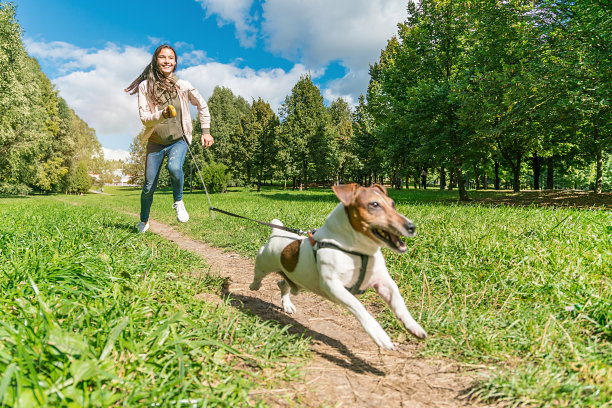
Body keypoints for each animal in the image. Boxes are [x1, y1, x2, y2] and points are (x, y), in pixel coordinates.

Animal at [249, 183, 426, 350]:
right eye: (374, 204)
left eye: (393, 204)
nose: (411, 227)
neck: (358, 252)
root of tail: (277, 233)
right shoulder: (333, 286)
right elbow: (358, 306)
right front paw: (378, 333)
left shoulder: (383, 282)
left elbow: (398, 302)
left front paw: (413, 326)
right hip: (264, 262)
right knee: (258, 276)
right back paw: (254, 285)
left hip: (294, 278)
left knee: (282, 283)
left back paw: (287, 304)